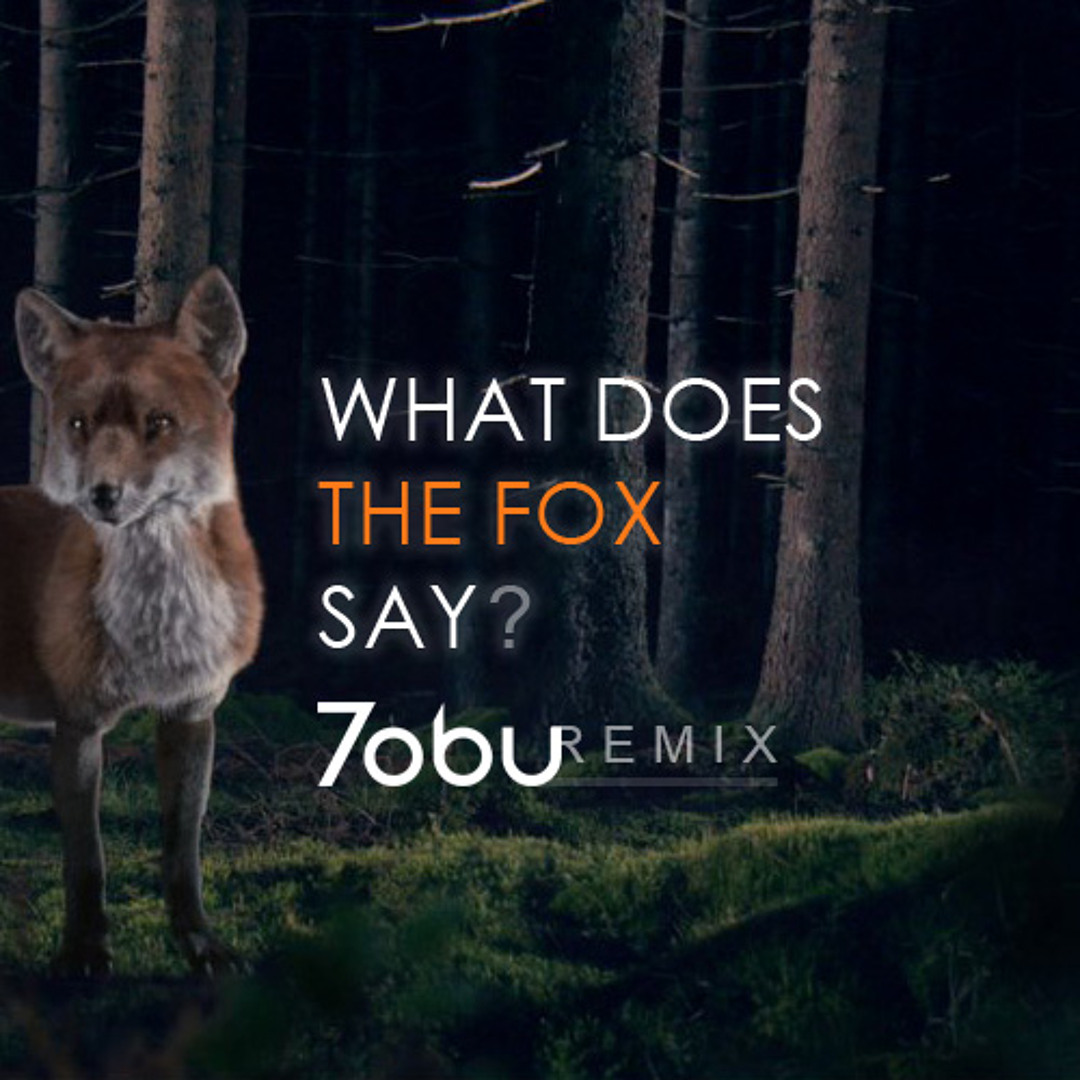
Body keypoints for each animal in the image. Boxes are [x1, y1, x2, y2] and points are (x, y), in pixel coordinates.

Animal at [1, 268, 263, 976]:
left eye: (160, 423)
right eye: (79, 424)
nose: (103, 494)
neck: (156, 625)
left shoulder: (190, 714)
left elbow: (182, 855)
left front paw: (198, 944)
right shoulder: (77, 725)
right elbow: (87, 862)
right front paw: (85, 953)